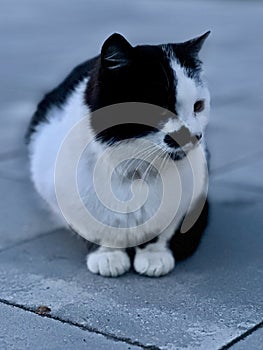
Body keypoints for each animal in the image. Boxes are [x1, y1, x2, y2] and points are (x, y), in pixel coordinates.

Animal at [26, 32, 211, 278]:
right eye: (159, 109)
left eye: (198, 106)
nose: (196, 136)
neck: (135, 167)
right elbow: (94, 225)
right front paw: (108, 255)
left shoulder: (193, 189)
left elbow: (164, 227)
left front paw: (153, 255)